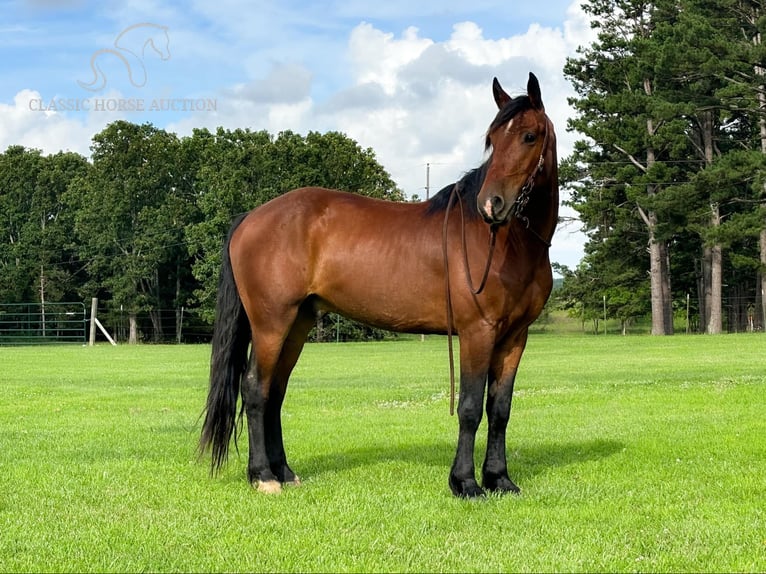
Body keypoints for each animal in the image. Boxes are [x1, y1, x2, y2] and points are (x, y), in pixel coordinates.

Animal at [200, 72, 560, 498]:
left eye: (529, 136)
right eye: (492, 139)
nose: (491, 205)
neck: (510, 244)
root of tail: (250, 217)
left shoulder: (514, 337)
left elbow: (499, 409)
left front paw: (500, 479)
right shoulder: (478, 333)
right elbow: (470, 408)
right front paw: (465, 483)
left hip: (298, 324)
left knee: (275, 392)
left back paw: (284, 471)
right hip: (272, 323)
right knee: (256, 389)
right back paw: (264, 476)